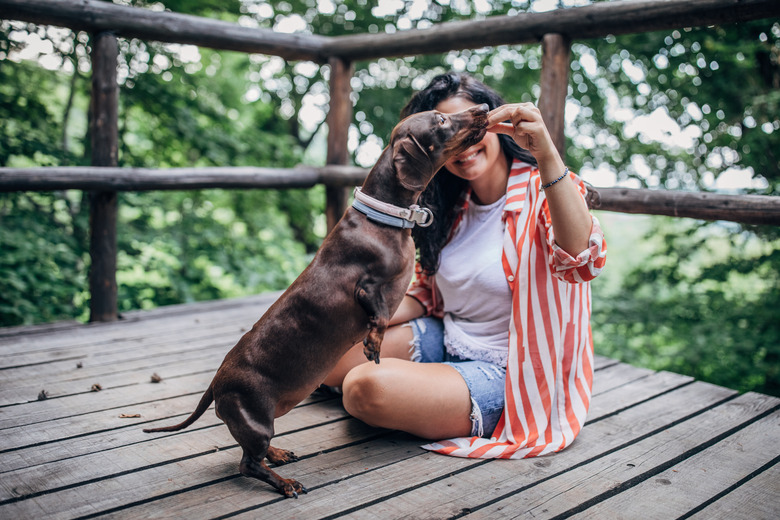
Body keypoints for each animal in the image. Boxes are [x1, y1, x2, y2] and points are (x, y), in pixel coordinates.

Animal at [143, 101, 490, 496]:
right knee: (247, 464)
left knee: (252, 456)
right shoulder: (366, 288)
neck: (383, 219)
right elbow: (379, 316)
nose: (484, 107)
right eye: (442, 119)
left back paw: (278, 455)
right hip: (257, 421)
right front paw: (373, 345)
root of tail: (217, 384)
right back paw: (285, 483)